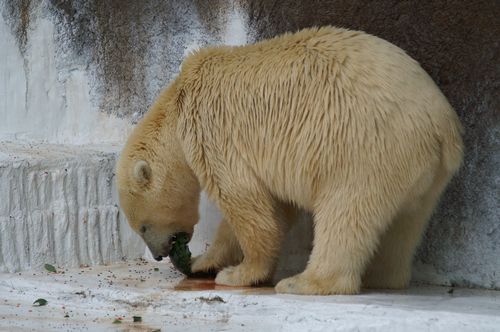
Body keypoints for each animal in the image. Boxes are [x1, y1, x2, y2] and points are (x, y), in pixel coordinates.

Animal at [115, 26, 462, 296]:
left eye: (142, 226)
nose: (160, 254)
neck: (178, 102)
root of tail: (442, 124)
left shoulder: (213, 132)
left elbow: (247, 205)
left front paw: (238, 273)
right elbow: (276, 207)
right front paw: (204, 262)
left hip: (364, 148)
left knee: (345, 211)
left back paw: (305, 282)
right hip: (424, 175)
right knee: (405, 226)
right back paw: (383, 276)